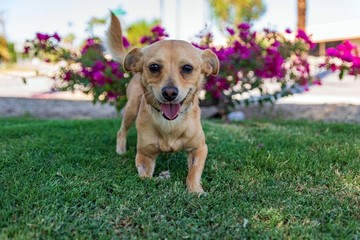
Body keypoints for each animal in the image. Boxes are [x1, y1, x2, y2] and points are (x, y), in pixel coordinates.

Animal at [106, 12, 219, 193]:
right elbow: (145, 177)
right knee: (121, 131)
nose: (169, 93)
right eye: (154, 67)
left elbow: (193, 172)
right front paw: (162, 177)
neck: (171, 124)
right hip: (131, 110)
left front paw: (196, 190)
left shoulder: (200, 148)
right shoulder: (144, 155)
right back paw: (121, 150)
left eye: (187, 68)